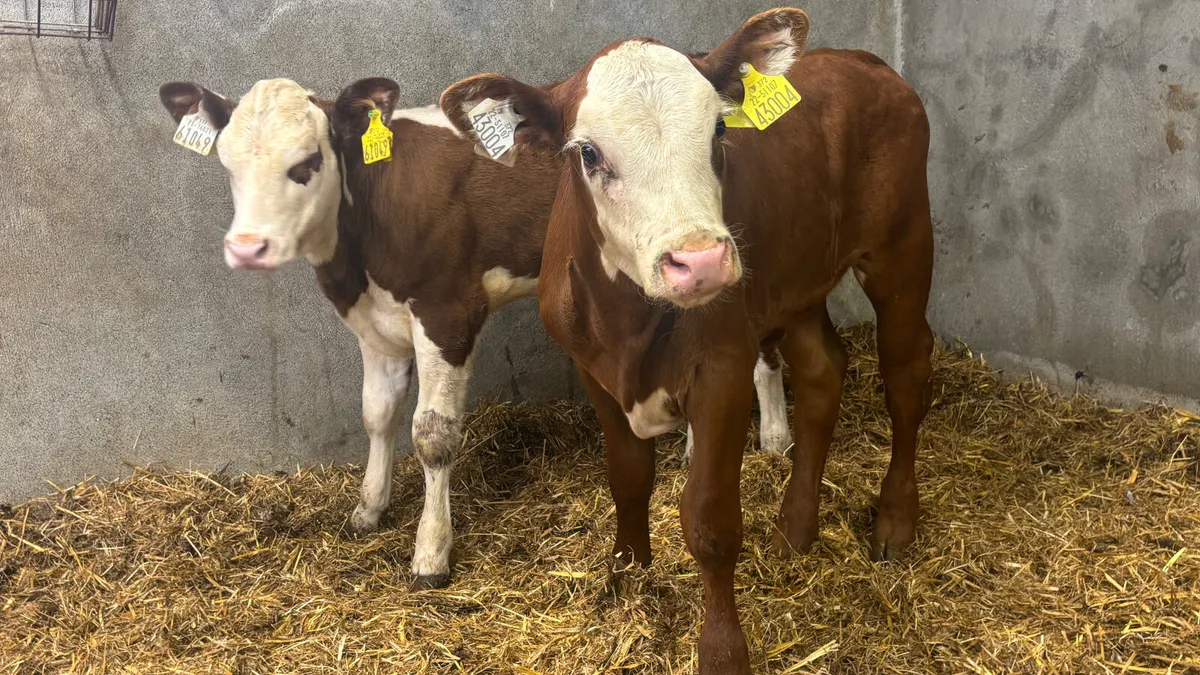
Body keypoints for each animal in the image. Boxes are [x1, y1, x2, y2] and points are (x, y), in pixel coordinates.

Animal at [157, 76, 789, 589]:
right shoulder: (376, 324)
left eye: (307, 161)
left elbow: (432, 435)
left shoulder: (448, 312)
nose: (247, 248)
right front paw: (369, 509)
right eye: (229, 166)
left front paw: (430, 554)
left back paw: (776, 439)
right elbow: (377, 414)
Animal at [441, 7, 934, 673]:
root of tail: (865, 60)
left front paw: (722, 650)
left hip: (902, 248)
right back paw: (795, 528)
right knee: (822, 372)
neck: (626, 325)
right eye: (588, 152)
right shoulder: (593, 371)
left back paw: (896, 521)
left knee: (905, 376)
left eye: (719, 131)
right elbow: (627, 476)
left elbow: (710, 521)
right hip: (797, 280)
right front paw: (626, 575)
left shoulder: (722, 367)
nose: (699, 261)